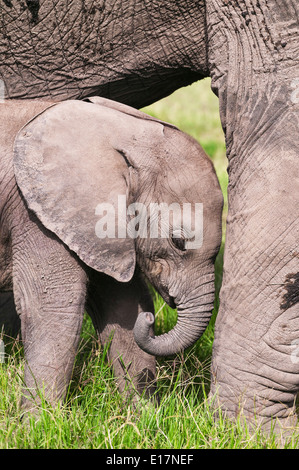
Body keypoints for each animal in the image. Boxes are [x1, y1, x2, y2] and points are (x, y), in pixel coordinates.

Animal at [0, 98, 224, 412]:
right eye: (178, 241)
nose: (153, 322)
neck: (126, 135)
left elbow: (125, 306)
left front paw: (145, 414)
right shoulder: (37, 215)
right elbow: (54, 308)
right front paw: (38, 419)